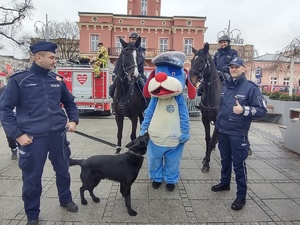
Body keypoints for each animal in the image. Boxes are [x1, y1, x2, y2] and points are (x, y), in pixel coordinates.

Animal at [189, 42, 224, 172]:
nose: (190, 80)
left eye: (202, 60)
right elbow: (208, 139)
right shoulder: (205, 119)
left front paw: (207, 163)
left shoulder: (219, 121)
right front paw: (205, 158)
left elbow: (212, 140)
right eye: (192, 60)